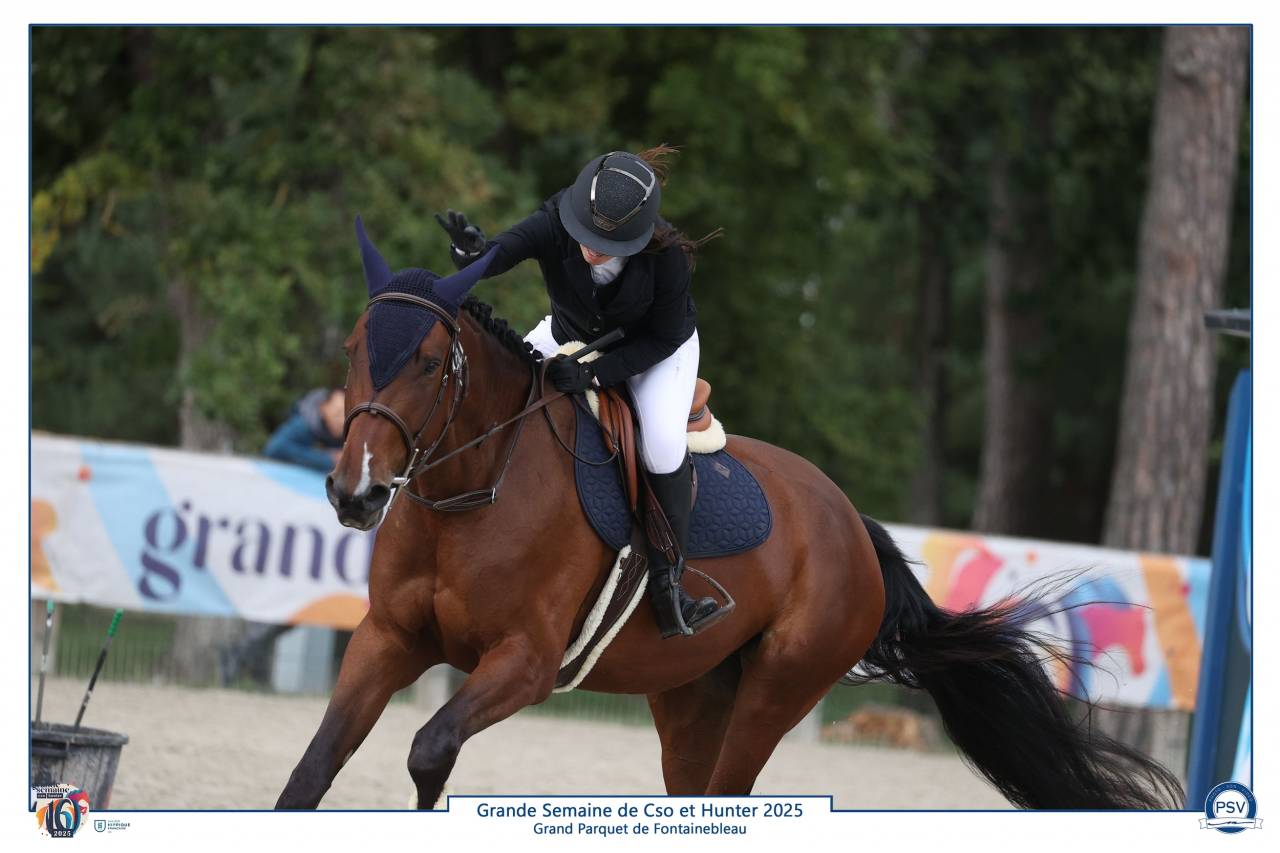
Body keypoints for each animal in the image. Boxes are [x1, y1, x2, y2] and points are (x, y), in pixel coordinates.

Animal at [275, 223, 1183, 811]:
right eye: (354, 350)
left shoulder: (524, 664)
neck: (473, 488)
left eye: (430, 362)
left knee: (728, 792)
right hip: (691, 694)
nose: (355, 492)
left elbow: (429, 751)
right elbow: (313, 770)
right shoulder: (388, 637)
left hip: (778, 690)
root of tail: (853, 524)